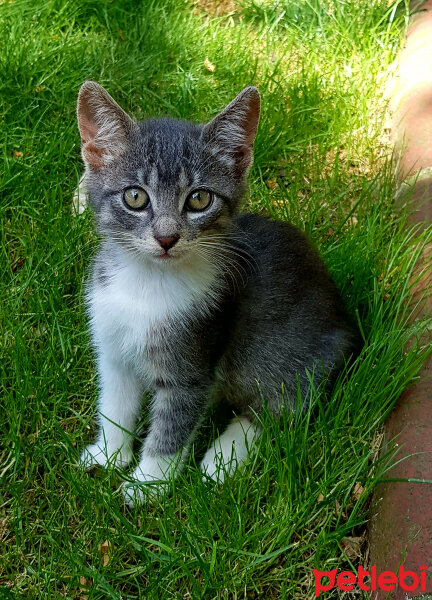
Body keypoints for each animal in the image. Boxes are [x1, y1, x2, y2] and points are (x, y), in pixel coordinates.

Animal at [77, 78, 358, 502]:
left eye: (199, 199)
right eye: (135, 196)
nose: (167, 238)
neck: (147, 282)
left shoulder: (195, 363)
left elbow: (173, 426)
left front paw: (147, 485)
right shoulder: (113, 347)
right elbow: (115, 404)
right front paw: (109, 454)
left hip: (291, 354)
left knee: (280, 407)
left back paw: (222, 458)